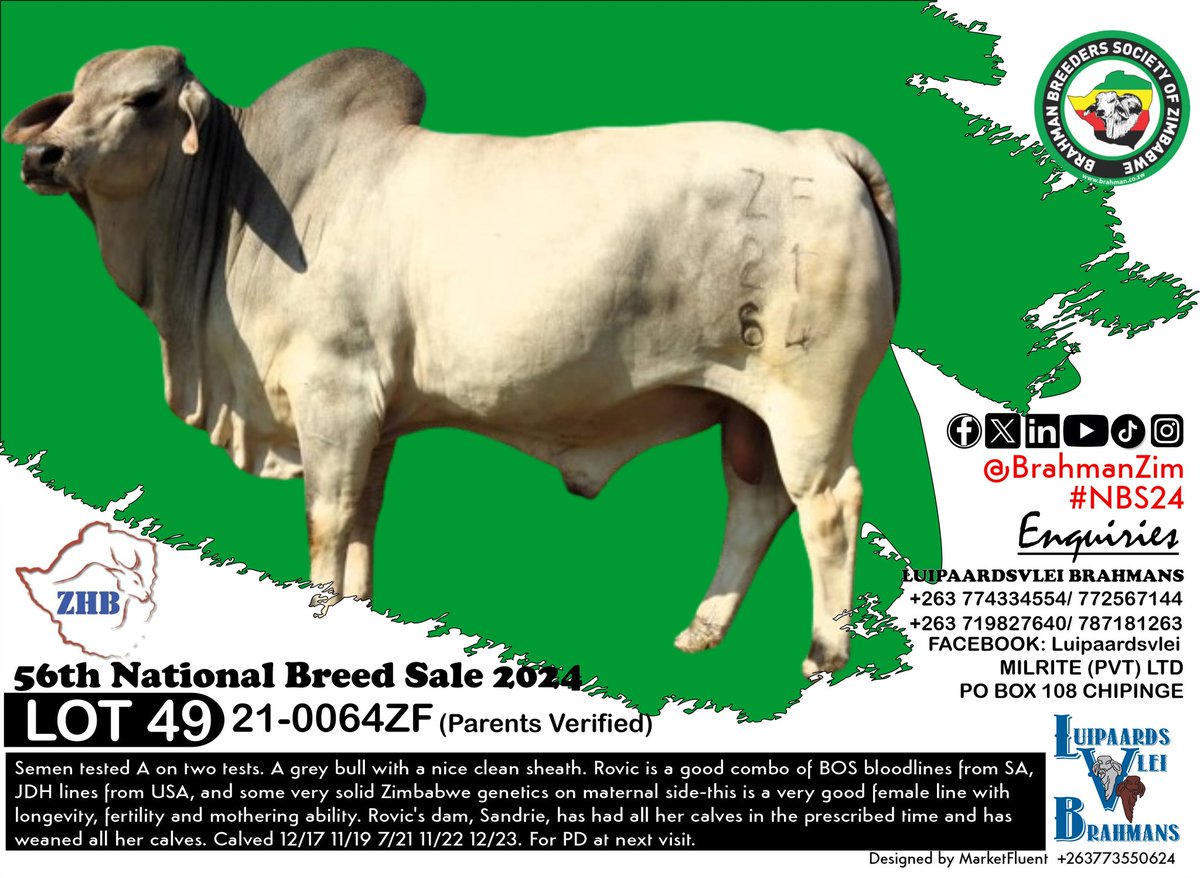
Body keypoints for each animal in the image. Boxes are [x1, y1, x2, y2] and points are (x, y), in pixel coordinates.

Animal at [4, 47, 898, 675]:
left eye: (146, 97)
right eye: (75, 92)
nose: (43, 156)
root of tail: (817, 145)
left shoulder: (332, 397)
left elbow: (327, 520)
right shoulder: (374, 418)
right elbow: (363, 520)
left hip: (810, 401)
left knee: (829, 505)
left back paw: (824, 656)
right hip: (746, 409)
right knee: (756, 505)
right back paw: (703, 630)